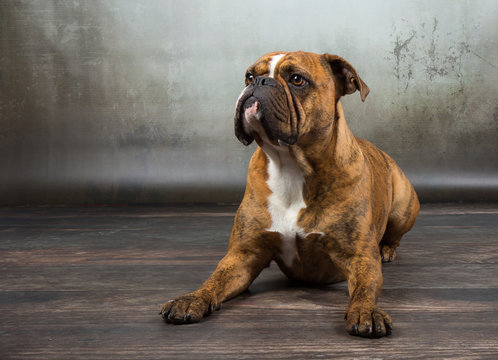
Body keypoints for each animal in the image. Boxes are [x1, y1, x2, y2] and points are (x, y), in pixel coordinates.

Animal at [161, 50, 418, 338]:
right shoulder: (243, 255)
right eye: (249, 75)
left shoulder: (359, 256)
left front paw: (366, 311)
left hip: (404, 206)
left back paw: (387, 250)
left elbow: (365, 288)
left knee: (394, 236)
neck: (290, 164)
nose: (259, 82)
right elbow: (215, 280)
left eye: (296, 79)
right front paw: (192, 298)